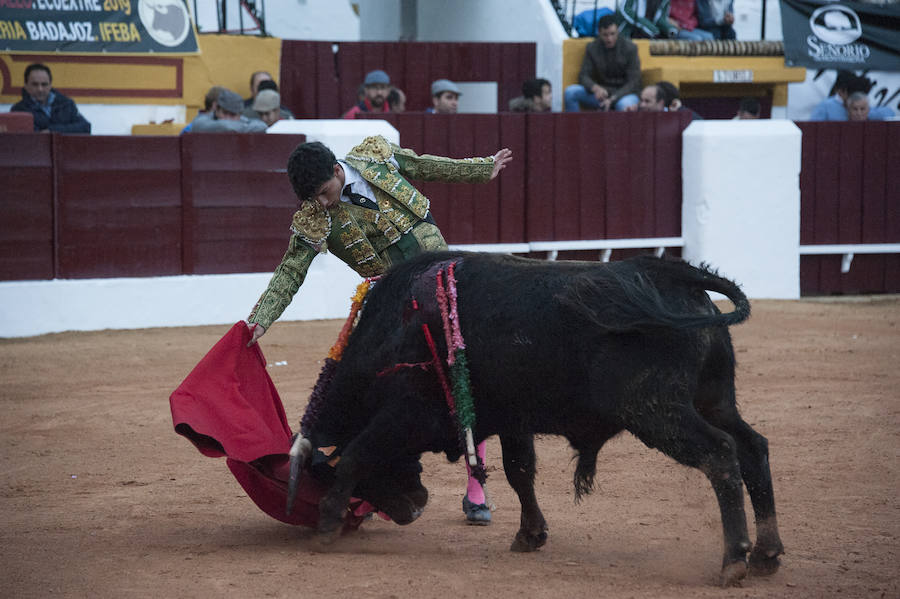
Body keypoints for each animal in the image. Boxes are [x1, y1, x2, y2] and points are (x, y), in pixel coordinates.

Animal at [296, 252, 780, 584]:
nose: (414, 508)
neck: (396, 329)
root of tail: (678, 276)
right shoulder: (513, 419)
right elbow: (519, 472)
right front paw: (530, 535)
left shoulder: (408, 413)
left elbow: (357, 453)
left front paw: (326, 525)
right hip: (714, 401)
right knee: (753, 448)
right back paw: (766, 554)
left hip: (656, 412)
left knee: (720, 454)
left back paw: (734, 559)